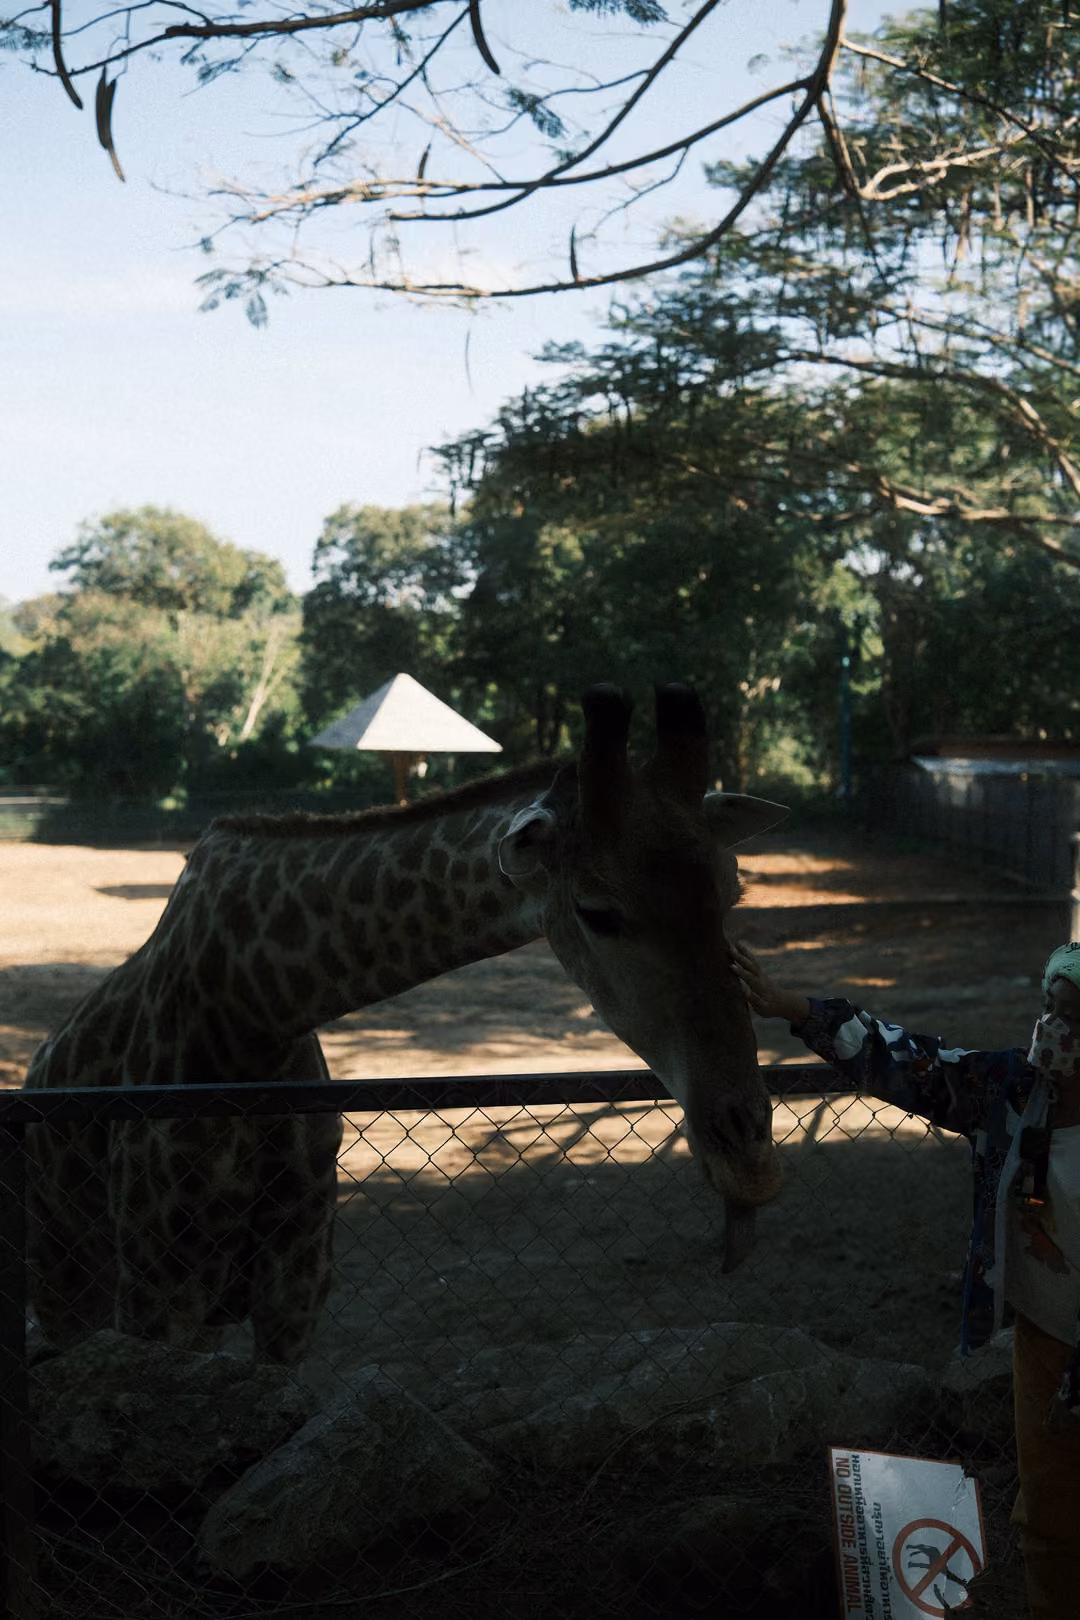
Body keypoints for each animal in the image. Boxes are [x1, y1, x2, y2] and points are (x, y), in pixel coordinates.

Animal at [23, 683, 788, 1365]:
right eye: (597, 911)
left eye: (734, 887)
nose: (748, 1159)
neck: (254, 1006)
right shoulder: (159, 1292)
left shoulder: (296, 1283)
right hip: (68, 1287)